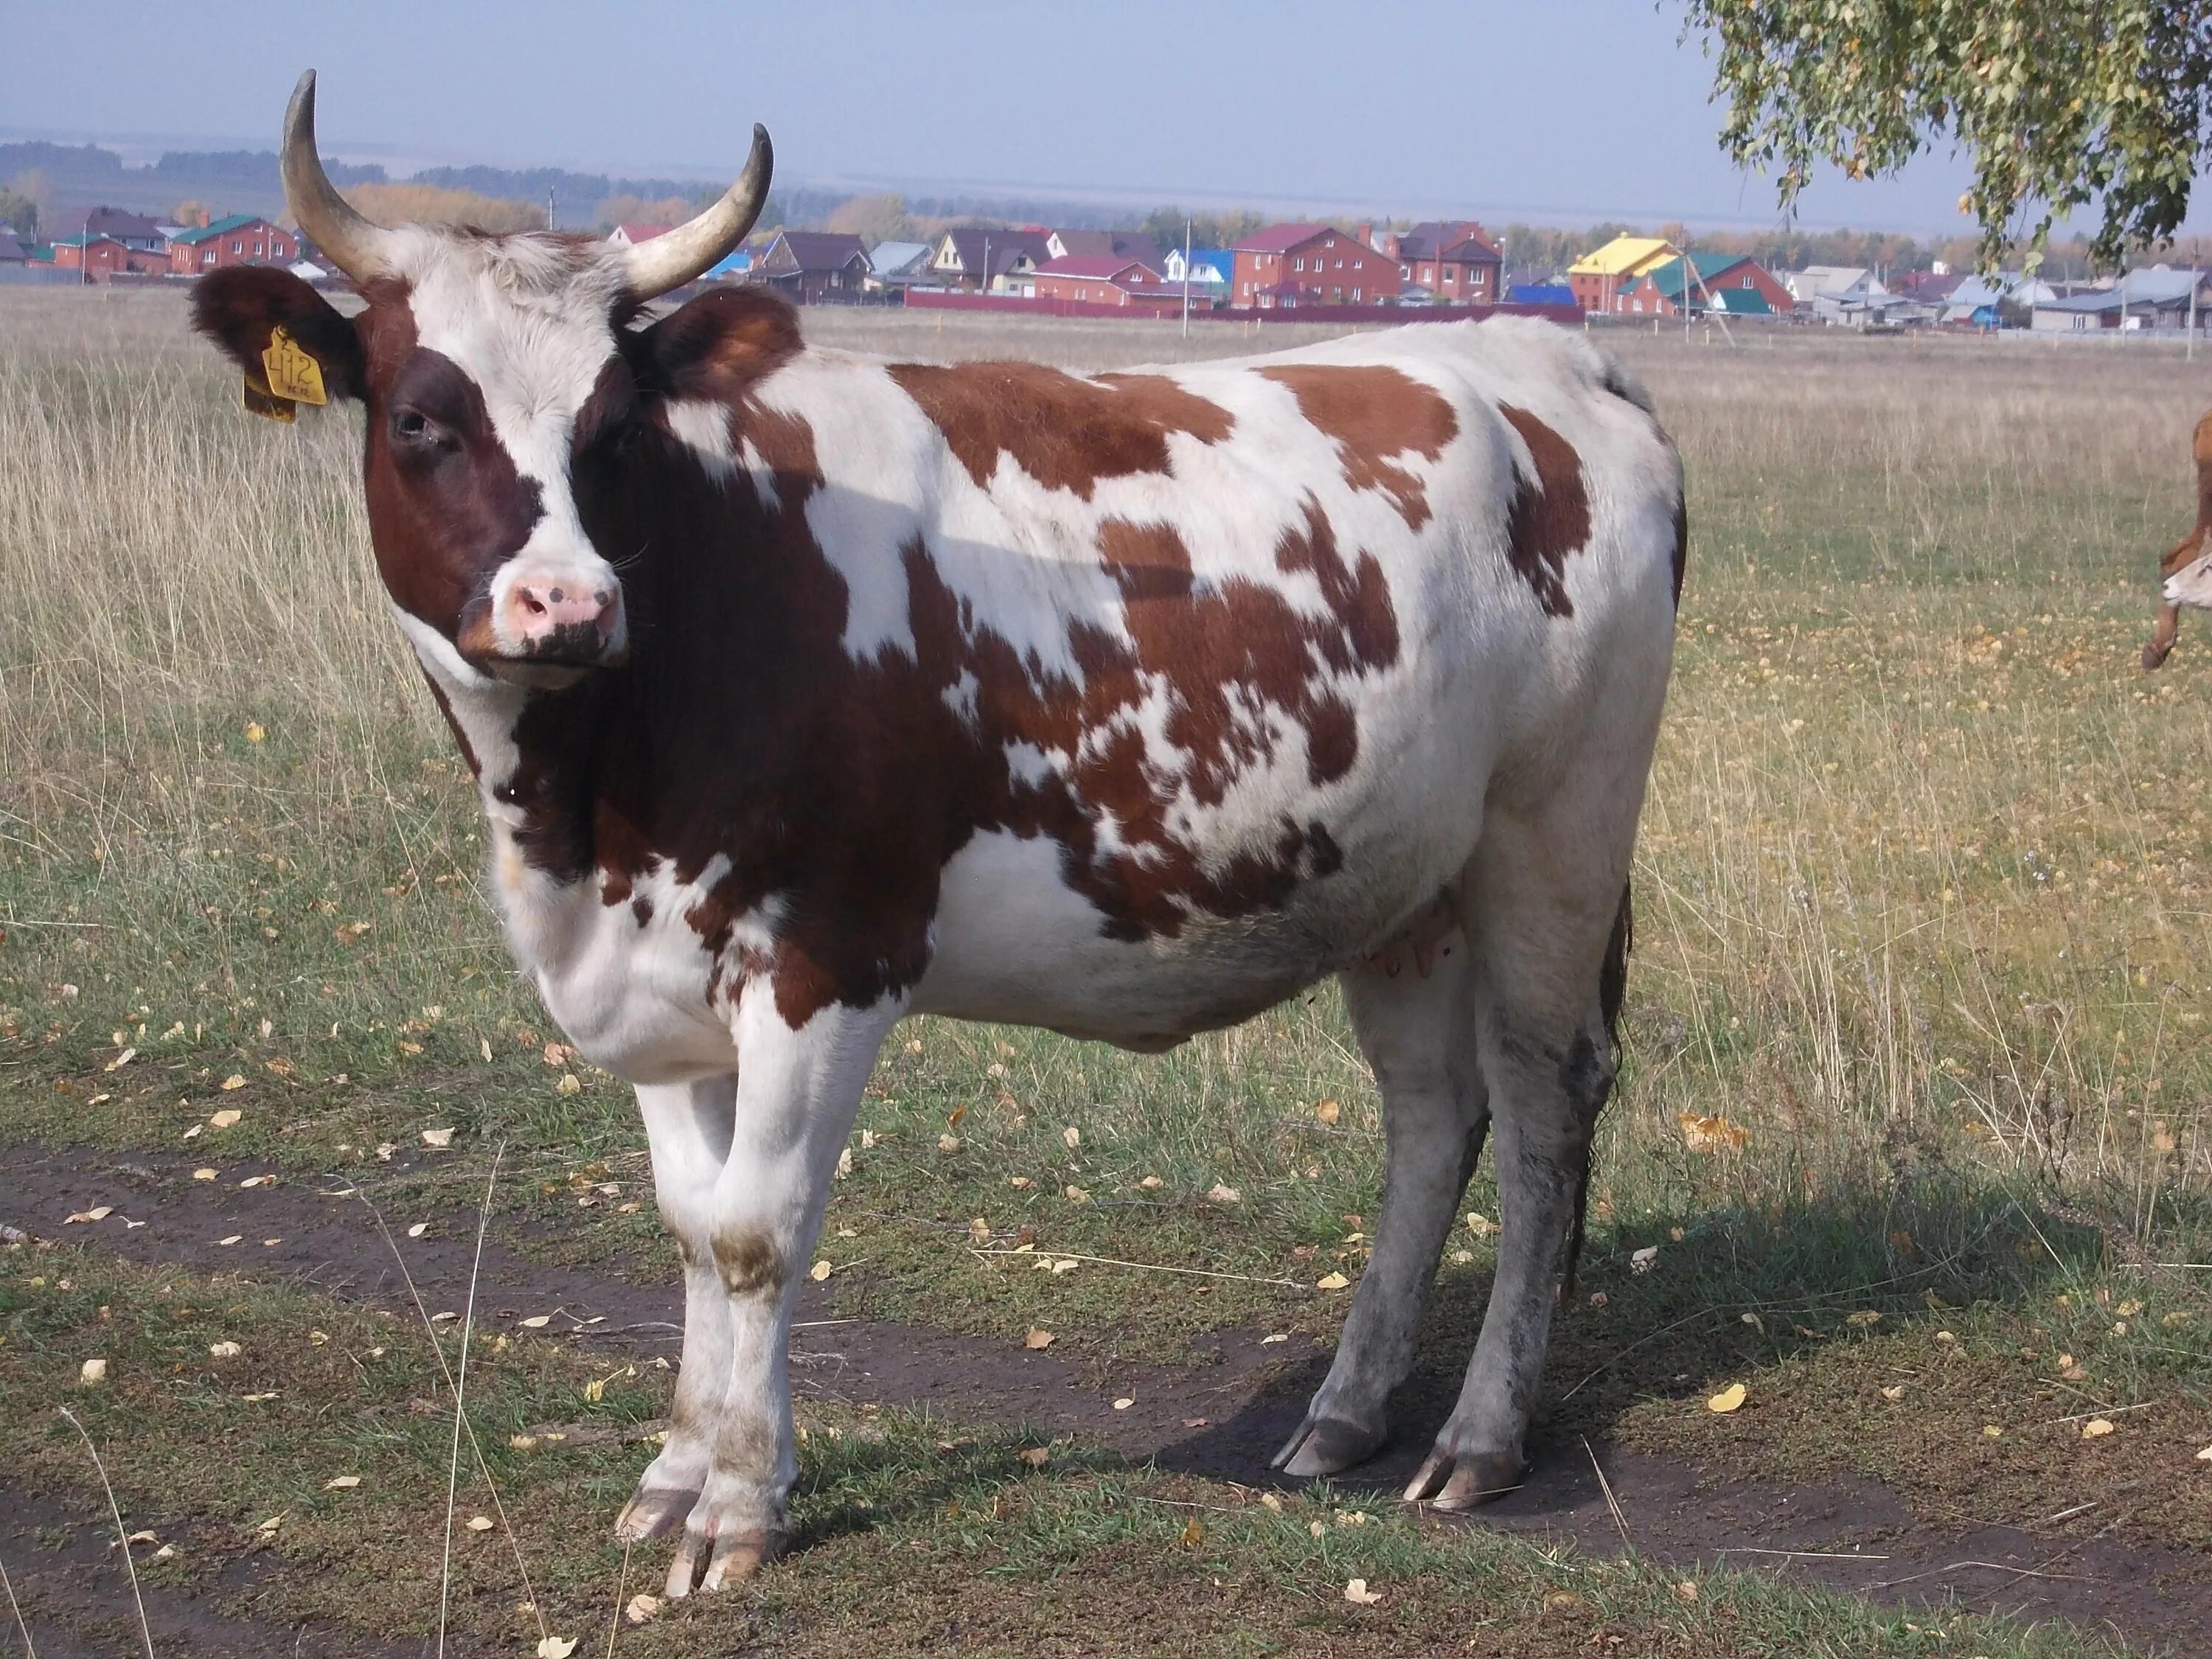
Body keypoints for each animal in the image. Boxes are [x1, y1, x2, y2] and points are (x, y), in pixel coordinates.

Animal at [199, 74, 1681, 1601]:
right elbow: (688, 1229)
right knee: (1431, 1113)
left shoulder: (827, 959)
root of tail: (1539, 350)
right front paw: (675, 1474)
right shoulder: (654, 981)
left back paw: (1481, 1436)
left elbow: (755, 1233)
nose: (568, 605)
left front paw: (738, 1505)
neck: (587, 801)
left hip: (1556, 834)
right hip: (1400, 880)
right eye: (420, 417)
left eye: (611, 427)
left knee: (1544, 1104)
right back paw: (1345, 1414)